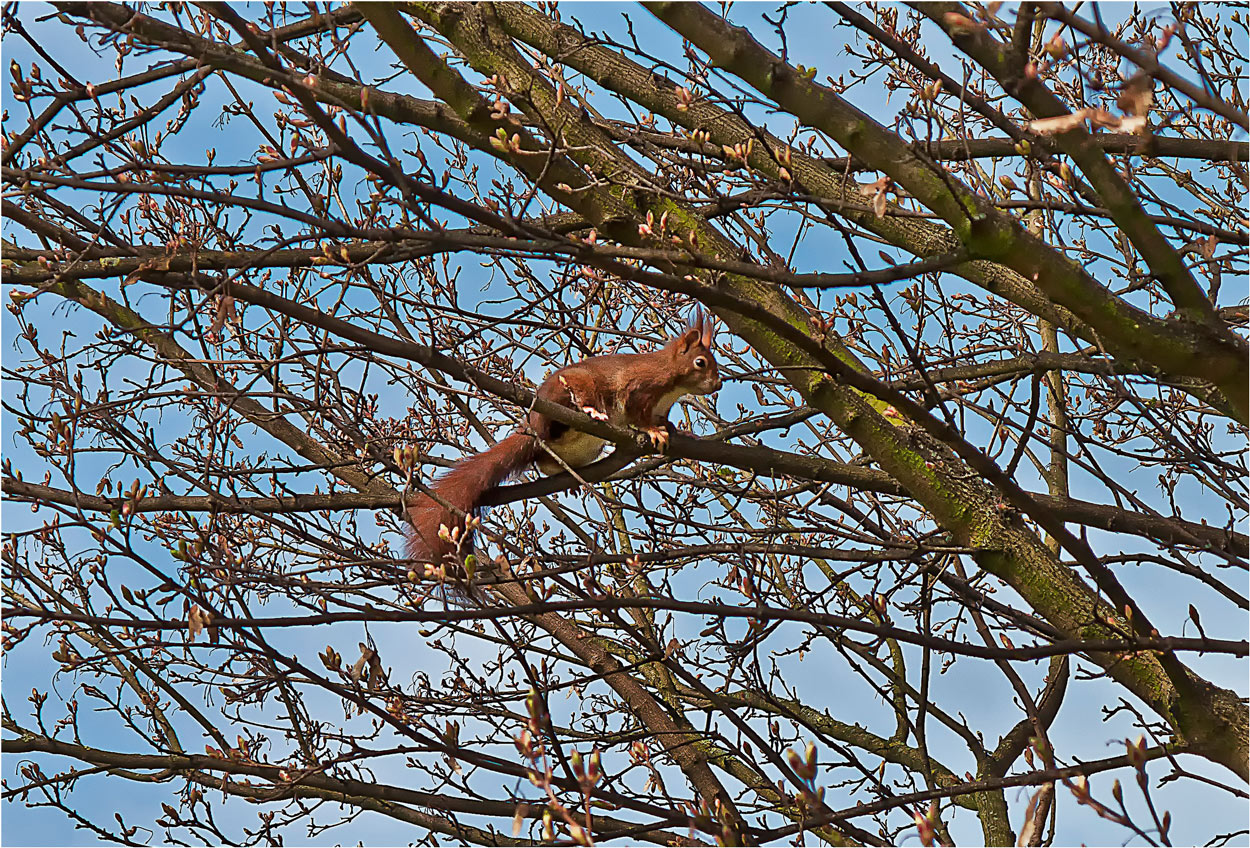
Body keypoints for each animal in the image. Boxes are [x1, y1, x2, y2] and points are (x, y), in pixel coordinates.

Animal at [410, 312, 725, 565]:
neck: (672, 385)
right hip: (575, 388)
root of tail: (533, 425)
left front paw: (674, 429)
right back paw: (588, 410)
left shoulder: (662, 407)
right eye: (700, 362)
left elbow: (663, 419)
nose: (719, 384)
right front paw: (654, 432)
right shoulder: (639, 388)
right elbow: (640, 417)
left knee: (545, 461)